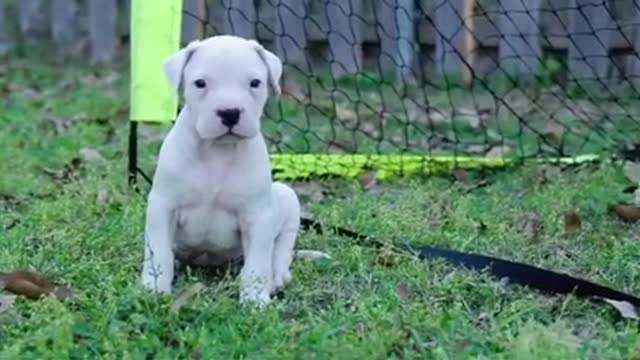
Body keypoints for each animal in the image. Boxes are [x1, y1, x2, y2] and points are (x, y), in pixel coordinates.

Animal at [142, 35, 328, 308]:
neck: (217, 151)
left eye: (255, 83)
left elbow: (257, 264)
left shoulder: (258, 216)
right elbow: (158, 252)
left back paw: (277, 275)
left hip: (286, 197)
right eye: (200, 83)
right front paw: (154, 289)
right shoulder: (163, 206)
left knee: (281, 247)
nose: (229, 113)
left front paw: (254, 300)